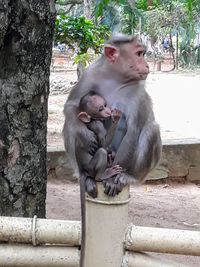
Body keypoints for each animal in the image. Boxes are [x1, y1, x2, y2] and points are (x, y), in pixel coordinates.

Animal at [63, 33, 162, 197]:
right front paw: (85, 135)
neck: (117, 77)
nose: (147, 65)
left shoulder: (138, 91)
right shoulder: (90, 74)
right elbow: (71, 106)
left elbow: (133, 131)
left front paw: (111, 179)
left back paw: (128, 176)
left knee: (151, 130)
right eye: (138, 54)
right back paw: (85, 176)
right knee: (70, 125)